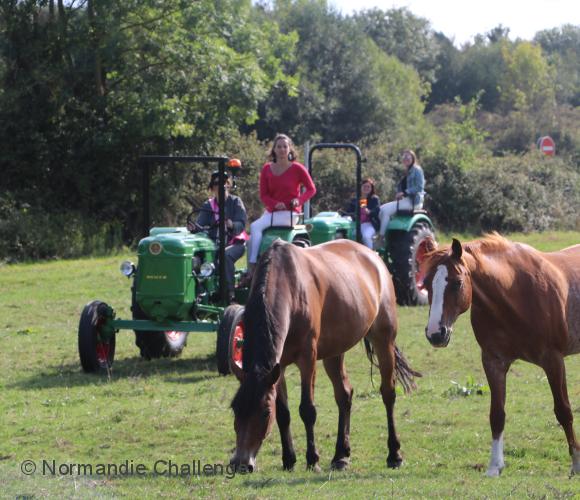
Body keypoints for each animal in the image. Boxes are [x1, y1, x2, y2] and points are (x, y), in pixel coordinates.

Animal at [229, 240, 420, 470]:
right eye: (235, 409)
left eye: (265, 412)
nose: (241, 463)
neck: (289, 288)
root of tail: (373, 256)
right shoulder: (278, 366)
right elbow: (284, 413)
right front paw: (289, 459)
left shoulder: (307, 359)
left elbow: (307, 410)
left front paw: (312, 459)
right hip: (334, 352)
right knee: (344, 395)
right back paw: (341, 455)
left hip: (384, 340)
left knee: (388, 393)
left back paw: (394, 454)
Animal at [422, 234, 580, 476]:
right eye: (426, 283)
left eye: (457, 282)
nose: (435, 334)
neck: (515, 294)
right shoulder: (493, 362)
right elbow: (497, 415)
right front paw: (495, 466)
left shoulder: (553, 360)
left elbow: (564, 411)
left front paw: (576, 463)